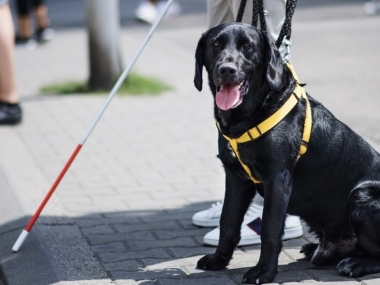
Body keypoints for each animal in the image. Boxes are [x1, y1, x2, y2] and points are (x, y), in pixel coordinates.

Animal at [194, 22, 380, 284]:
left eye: (247, 45)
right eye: (216, 44)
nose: (226, 70)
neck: (248, 116)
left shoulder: (277, 179)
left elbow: (270, 230)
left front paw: (263, 272)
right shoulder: (236, 178)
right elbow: (228, 221)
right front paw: (218, 259)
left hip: (363, 196)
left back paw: (355, 264)